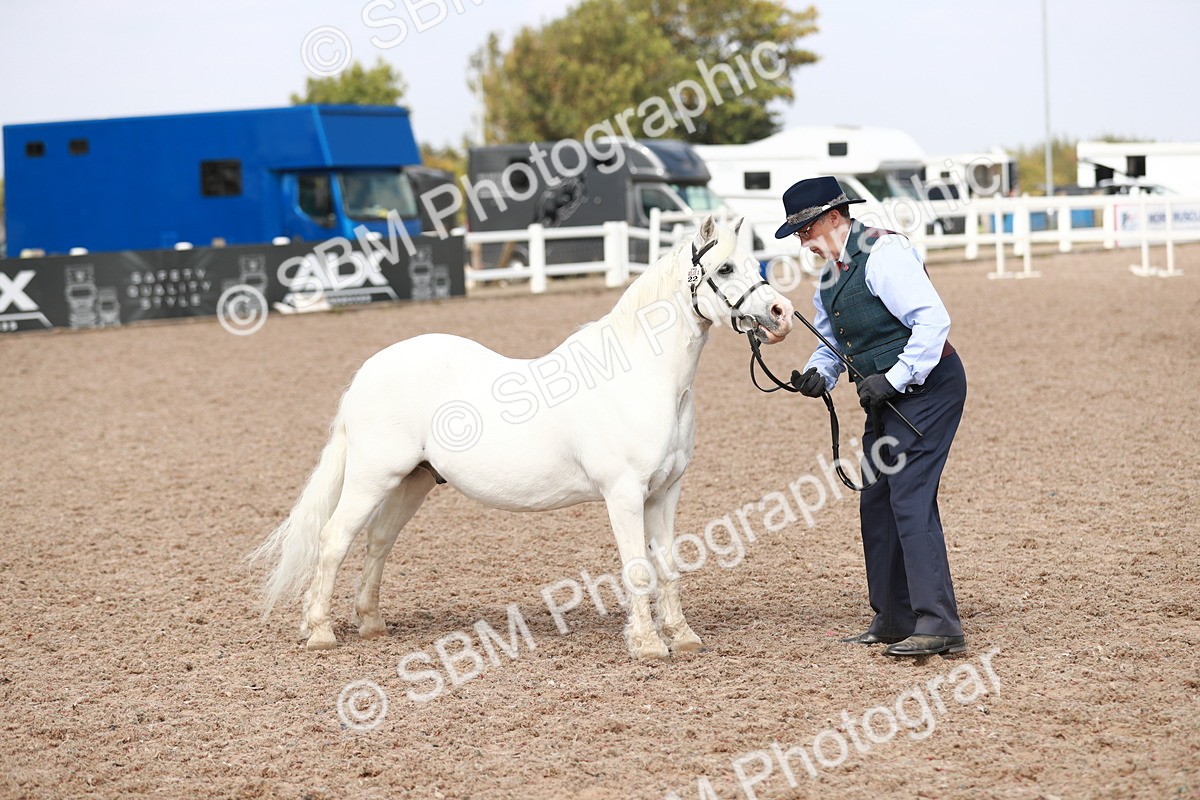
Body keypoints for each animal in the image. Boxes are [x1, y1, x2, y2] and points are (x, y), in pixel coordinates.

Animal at [251, 216, 795, 660]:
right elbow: (637, 567)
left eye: (756, 262)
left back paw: (370, 624)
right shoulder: (624, 494)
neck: (643, 377)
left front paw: (681, 637)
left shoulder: (665, 492)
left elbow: (667, 565)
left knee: (378, 541)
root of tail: (369, 370)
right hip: (372, 477)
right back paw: (321, 632)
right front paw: (647, 645)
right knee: (333, 540)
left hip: (413, 480)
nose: (781, 312)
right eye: (725, 268)